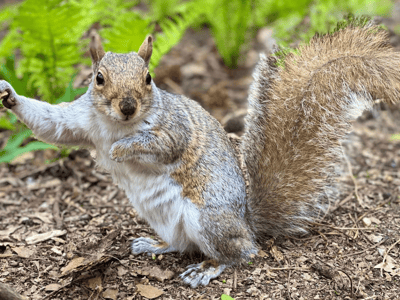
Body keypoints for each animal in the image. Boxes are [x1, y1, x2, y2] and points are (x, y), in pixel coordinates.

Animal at [0, 22, 400, 288]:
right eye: (99, 78)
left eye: (148, 79)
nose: (128, 106)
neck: (117, 124)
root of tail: (246, 222)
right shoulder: (80, 122)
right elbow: (51, 126)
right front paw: (9, 95)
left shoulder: (175, 129)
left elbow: (161, 145)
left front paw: (120, 150)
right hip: (167, 220)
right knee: (181, 245)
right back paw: (155, 244)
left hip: (208, 220)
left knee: (242, 253)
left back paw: (208, 268)